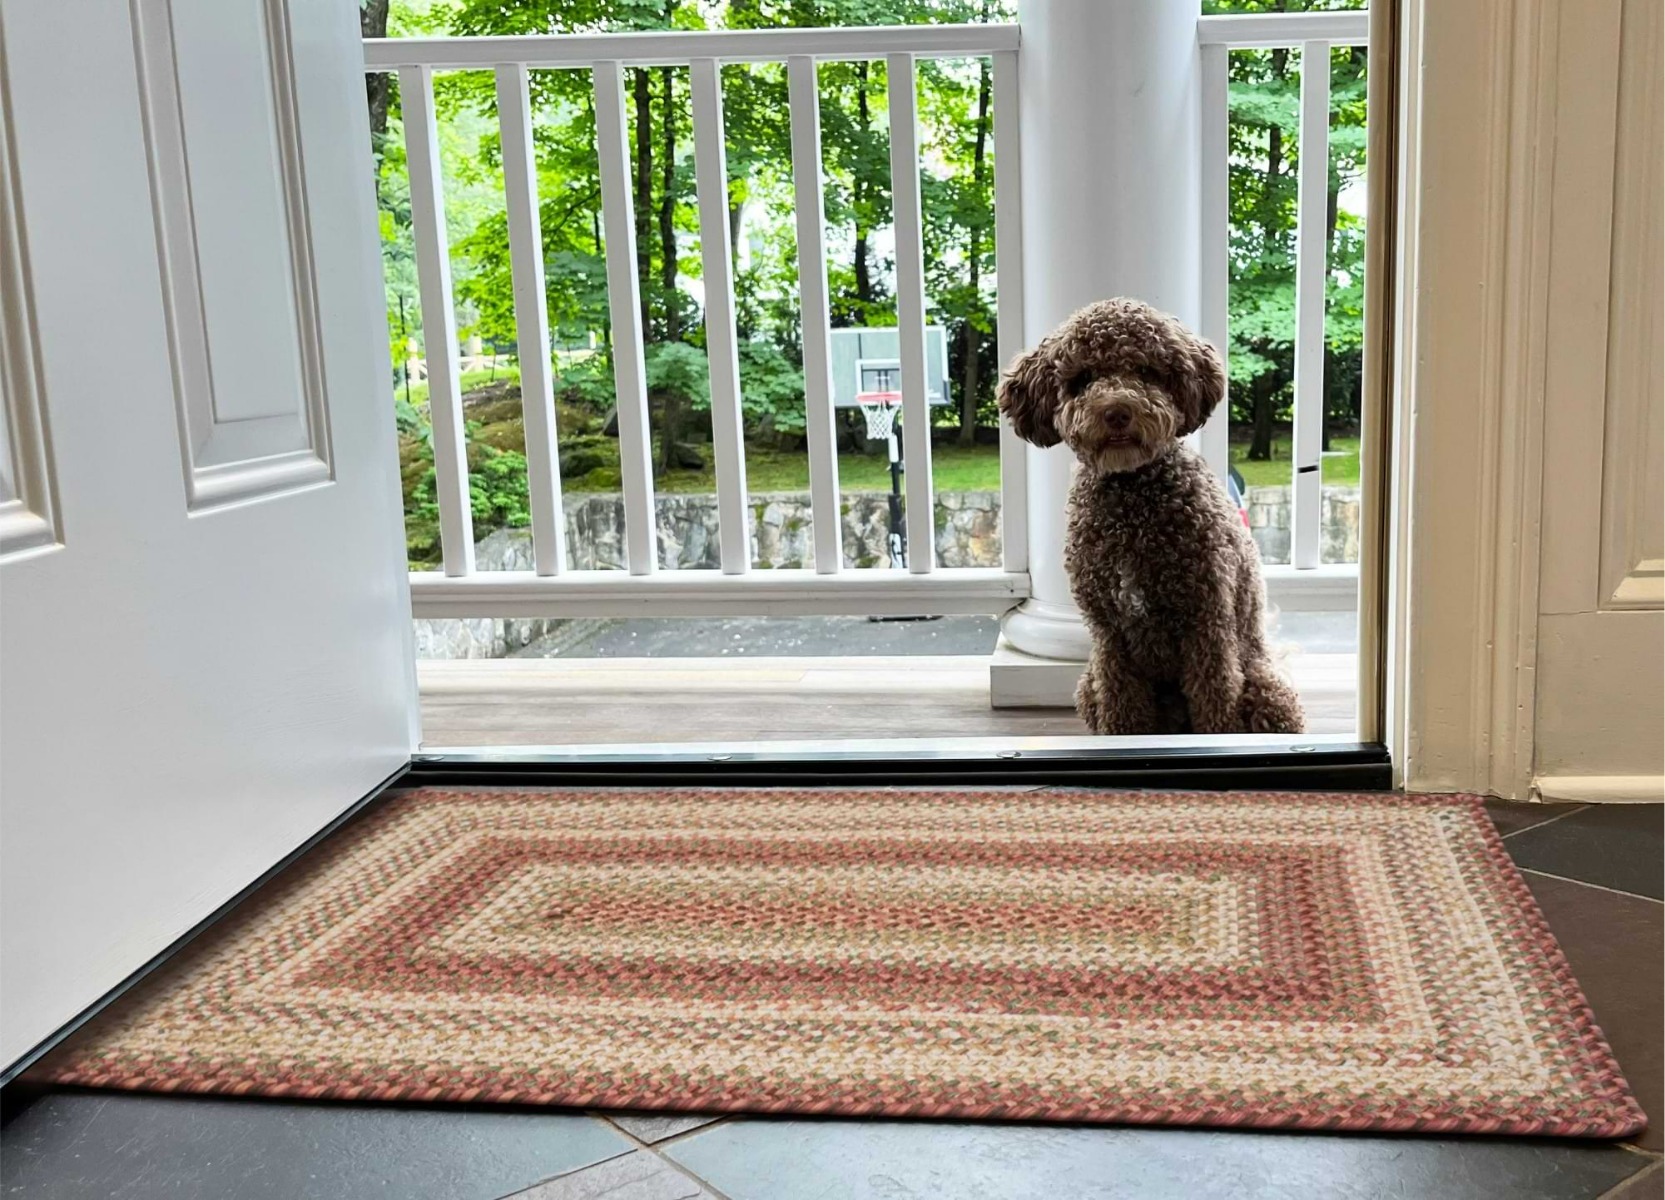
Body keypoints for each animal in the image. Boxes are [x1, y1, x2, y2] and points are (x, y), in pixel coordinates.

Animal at [999, 297, 1298, 728]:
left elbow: (1215, 703)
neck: (1133, 502)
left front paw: (1218, 733)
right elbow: (1122, 707)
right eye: (1083, 378)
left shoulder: (1207, 621)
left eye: (1145, 371)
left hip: (1266, 688)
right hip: (1088, 687)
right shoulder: (1109, 634)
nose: (1116, 411)